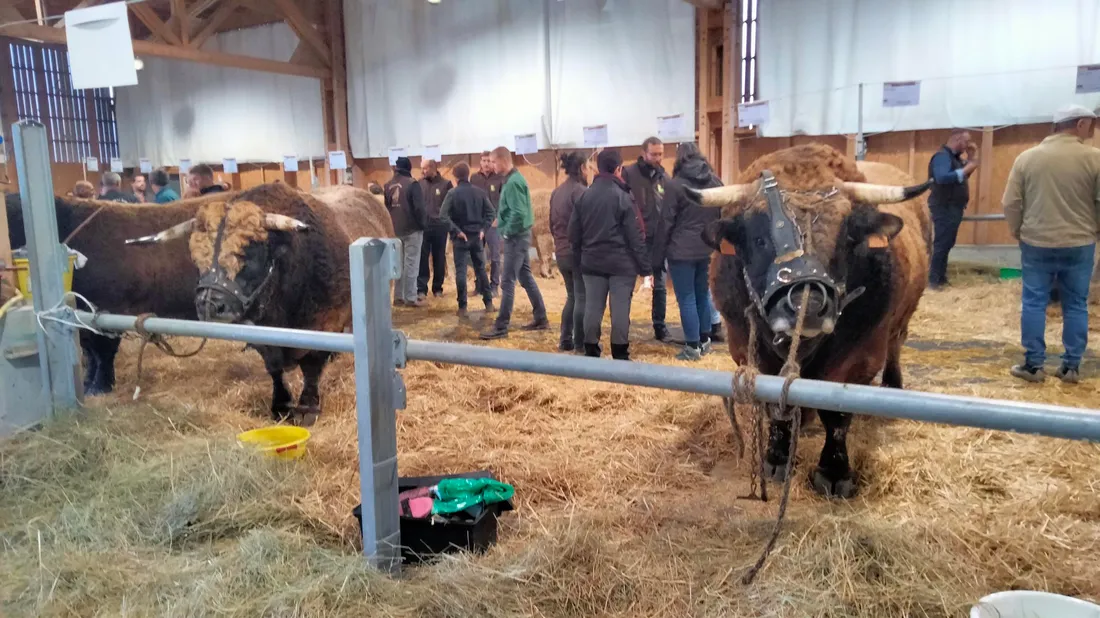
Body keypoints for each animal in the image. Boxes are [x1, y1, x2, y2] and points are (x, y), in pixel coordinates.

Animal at [129, 182, 396, 422]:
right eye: (196, 258)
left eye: (248, 254)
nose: (209, 305)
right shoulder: (262, 337)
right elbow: (274, 368)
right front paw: (281, 404)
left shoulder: (325, 322)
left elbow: (311, 366)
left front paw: (308, 406)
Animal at [690, 144, 932, 494]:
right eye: (760, 239)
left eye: (846, 239)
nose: (809, 304)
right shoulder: (745, 347)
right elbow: (773, 402)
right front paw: (776, 456)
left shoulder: (859, 355)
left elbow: (837, 414)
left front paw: (834, 471)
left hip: (901, 320)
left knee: (896, 343)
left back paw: (892, 383)